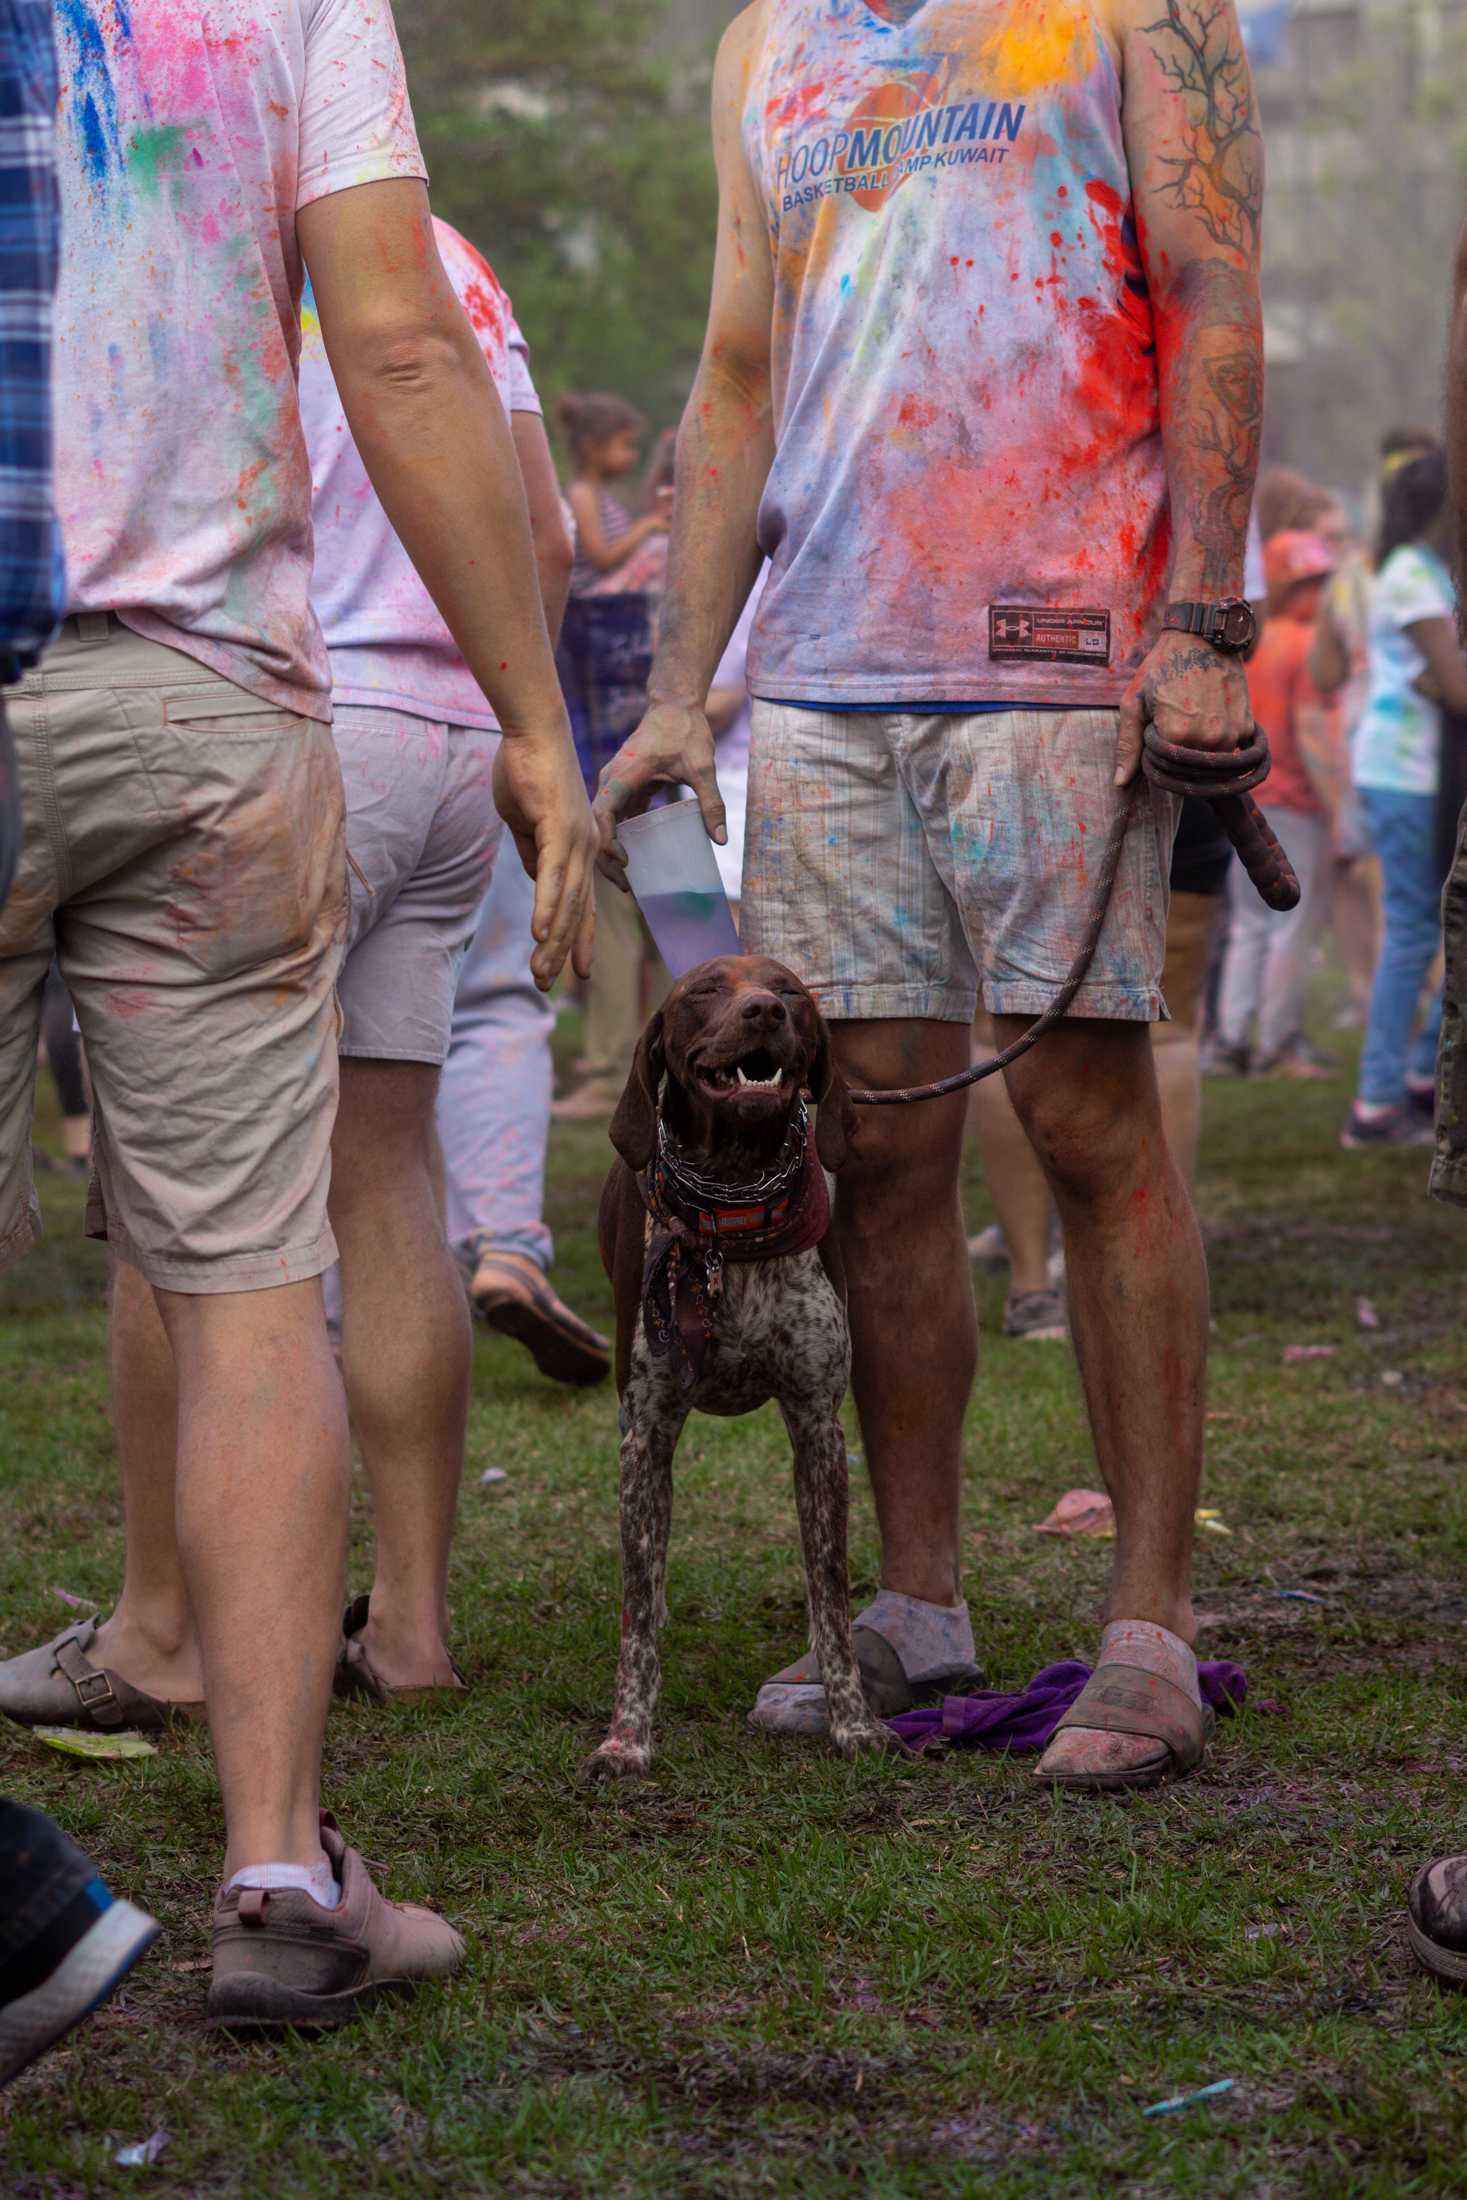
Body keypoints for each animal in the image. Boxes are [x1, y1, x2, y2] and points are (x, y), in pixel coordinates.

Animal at [585, 954, 897, 1777]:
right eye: (702, 991)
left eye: (788, 990)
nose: (763, 1011)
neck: (732, 1217)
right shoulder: (647, 1434)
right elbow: (637, 1607)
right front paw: (626, 1738)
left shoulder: (818, 1428)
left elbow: (830, 1590)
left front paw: (853, 1723)